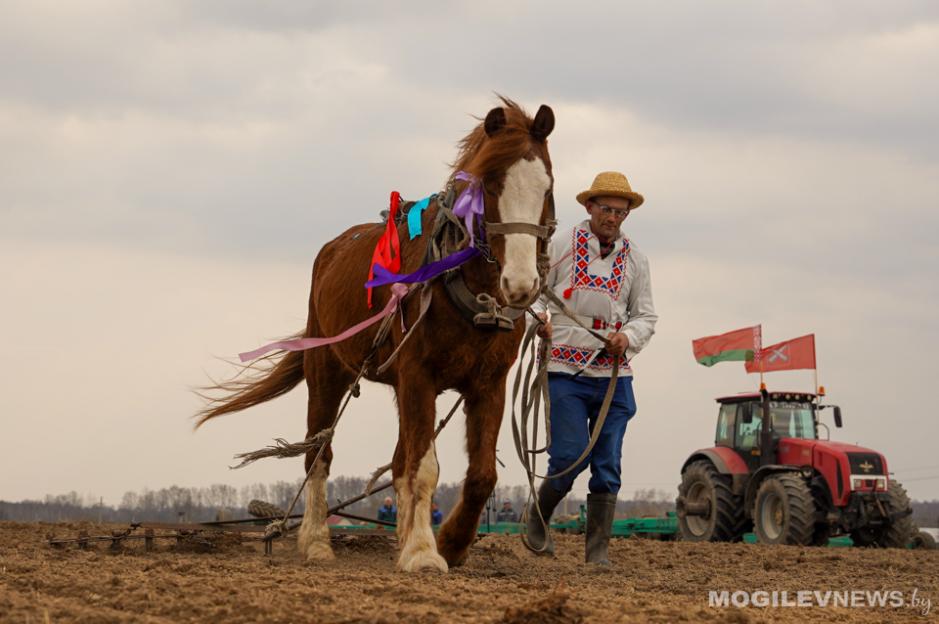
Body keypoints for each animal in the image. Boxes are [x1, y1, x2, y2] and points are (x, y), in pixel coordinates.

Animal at [197, 98, 552, 576]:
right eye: (492, 186)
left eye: (547, 187)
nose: (520, 283)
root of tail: (332, 249)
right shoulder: (419, 375)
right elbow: (423, 468)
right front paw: (423, 550)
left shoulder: (487, 383)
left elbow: (479, 475)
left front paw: (449, 543)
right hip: (326, 372)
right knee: (319, 456)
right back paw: (315, 540)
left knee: (400, 459)